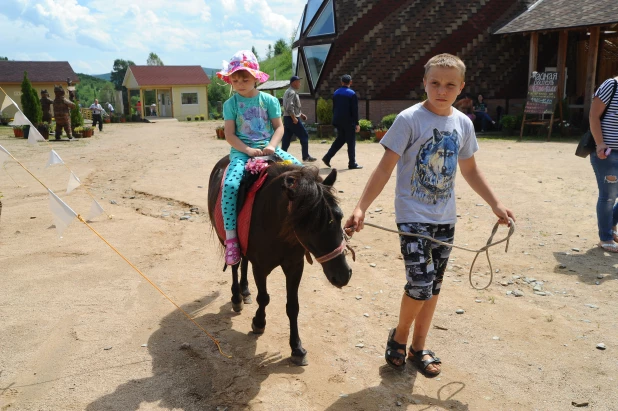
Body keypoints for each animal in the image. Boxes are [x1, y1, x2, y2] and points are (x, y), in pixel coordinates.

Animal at [207, 156, 352, 366]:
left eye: (340, 216)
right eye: (308, 225)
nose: (343, 275)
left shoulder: (295, 266)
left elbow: (293, 306)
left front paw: (297, 348)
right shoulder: (260, 267)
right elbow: (264, 298)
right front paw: (259, 323)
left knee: (244, 263)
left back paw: (245, 290)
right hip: (226, 240)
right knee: (235, 265)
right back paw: (237, 298)